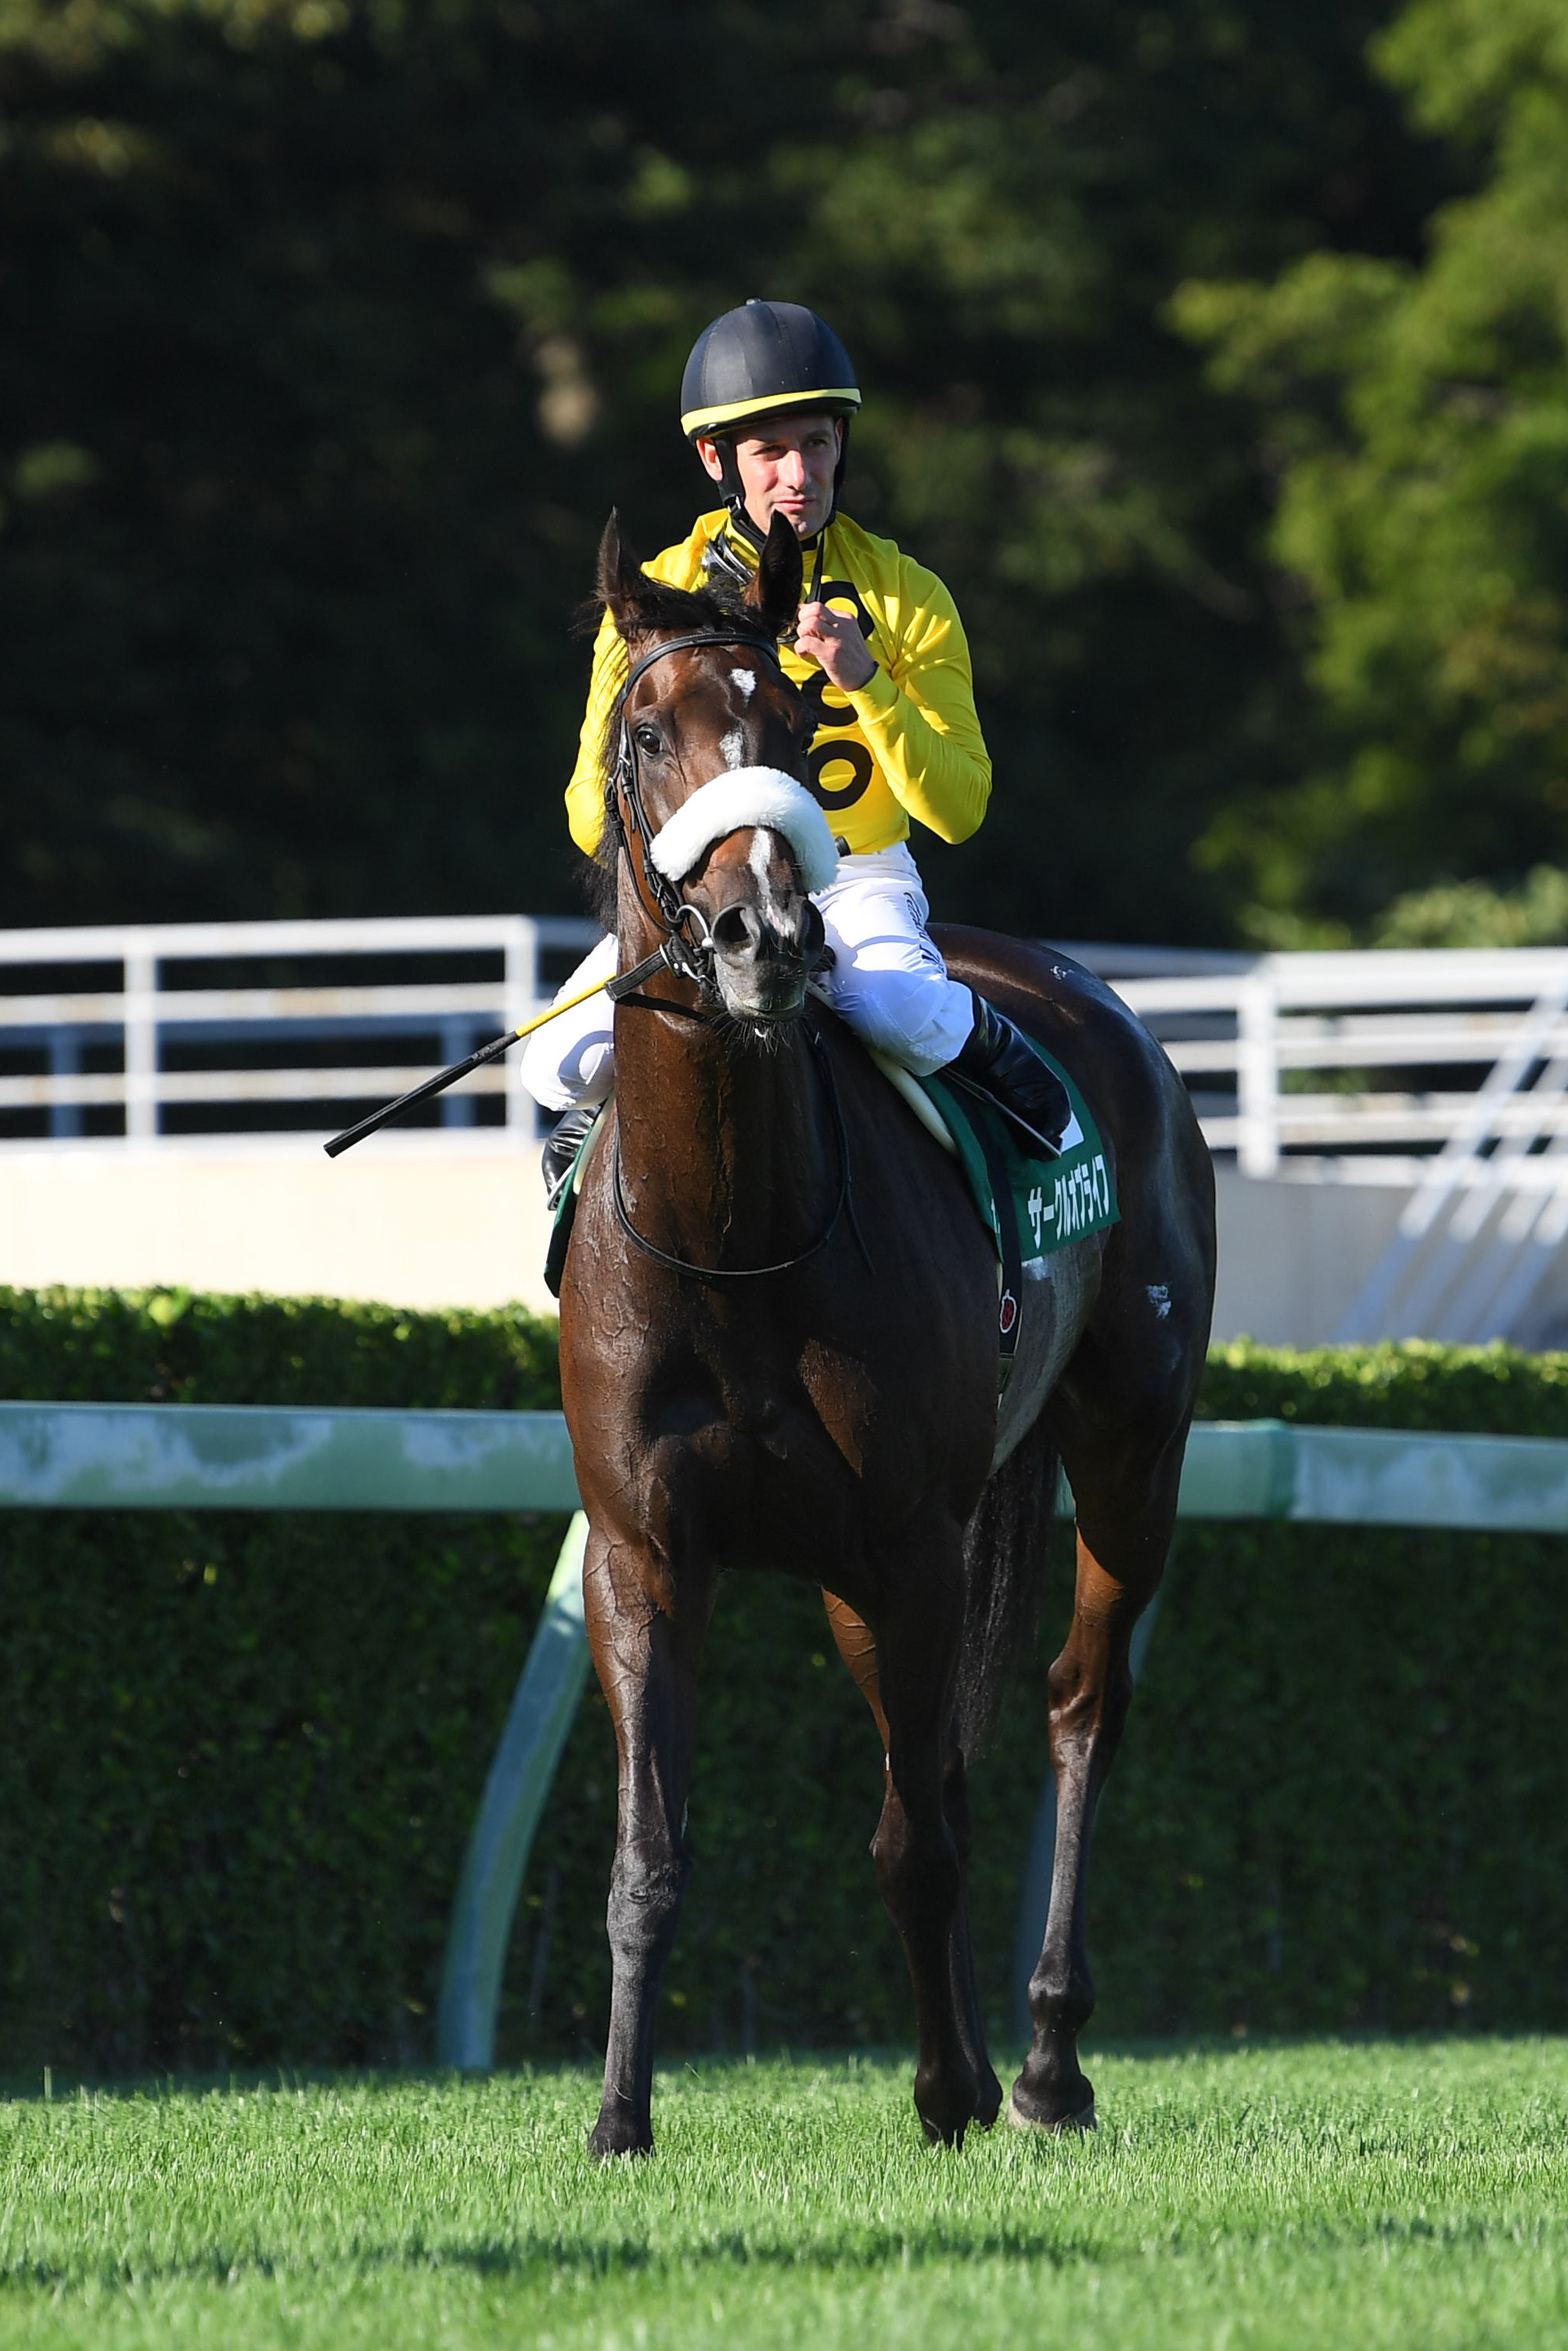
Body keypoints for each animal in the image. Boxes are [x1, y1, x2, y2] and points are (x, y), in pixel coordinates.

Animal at [557, 505, 1222, 2153]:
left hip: (1130, 1451)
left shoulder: (901, 1539)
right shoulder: (642, 1550)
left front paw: (945, 2088)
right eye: (643, 731)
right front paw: (618, 2116)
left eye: (802, 730)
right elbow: (650, 1851)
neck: (735, 1239)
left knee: (1074, 1708)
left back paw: (1040, 2060)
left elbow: (910, 1836)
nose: (761, 935)